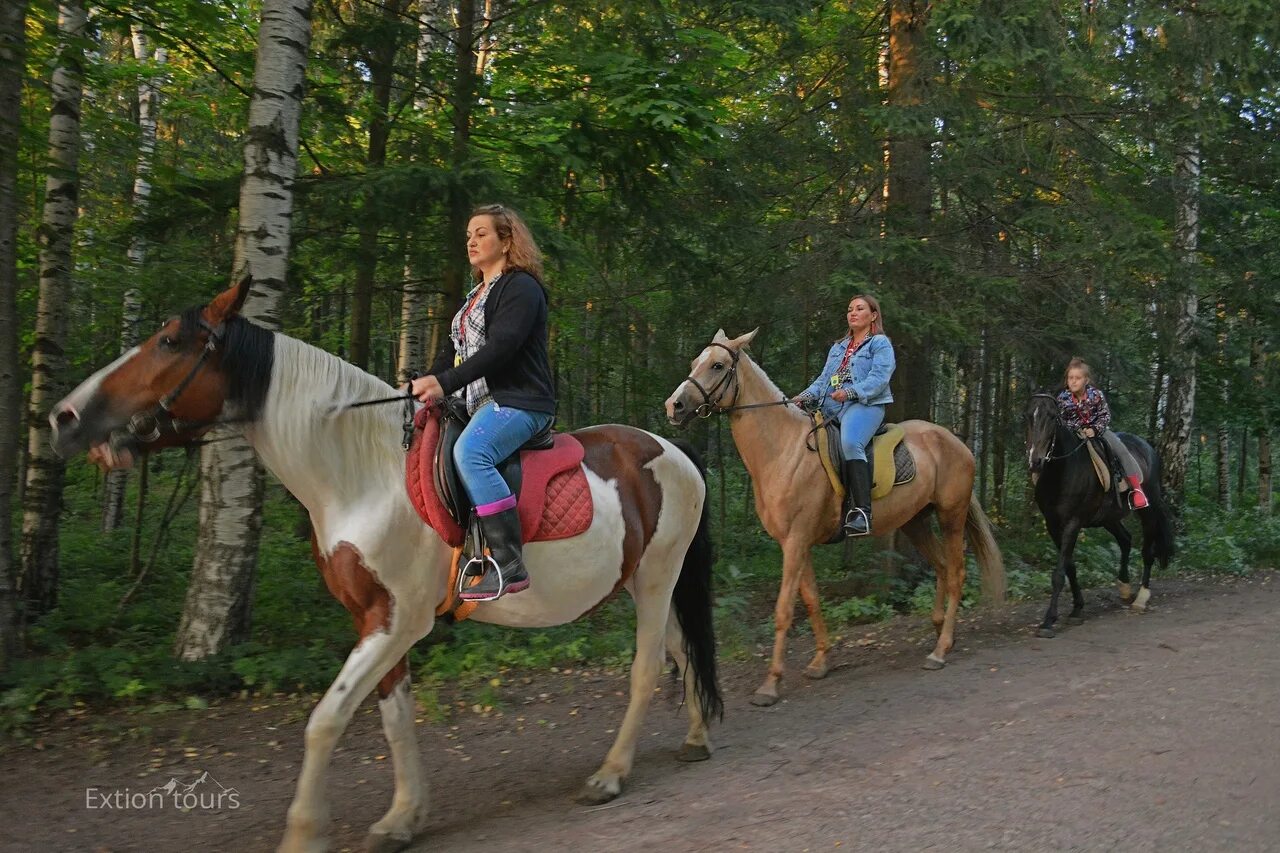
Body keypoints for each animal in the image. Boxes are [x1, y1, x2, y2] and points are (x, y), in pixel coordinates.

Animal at [49, 277, 727, 845]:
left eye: (168, 341)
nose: (64, 416)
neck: (362, 474)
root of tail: (672, 449)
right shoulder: (374, 620)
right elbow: (395, 716)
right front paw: (403, 817)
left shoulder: (396, 621)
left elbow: (325, 721)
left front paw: (304, 832)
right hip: (644, 580)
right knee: (679, 646)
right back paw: (696, 736)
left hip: (658, 576)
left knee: (646, 667)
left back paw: (610, 774)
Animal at [665, 325, 1003, 701]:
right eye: (696, 362)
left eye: (718, 366)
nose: (674, 406)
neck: (783, 451)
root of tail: (955, 442)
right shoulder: (795, 543)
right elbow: (811, 600)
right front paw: (820, 661)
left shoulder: (796, 541)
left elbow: (784, 609)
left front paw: (771, 684)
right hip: (916, 522)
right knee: (942, 568)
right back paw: (939, 629)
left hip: (951, 516)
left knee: (956, 572)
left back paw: (940, 649)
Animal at [1024, 389, 1172, 630]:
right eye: (1027, 416)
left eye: (1053, 417)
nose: (1035, 461)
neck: (1062, 471)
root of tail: (1148, 448)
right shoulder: (1053, 525)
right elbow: (1069, 567)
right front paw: (1077, 608)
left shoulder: (1073, 523)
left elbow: (1059, 572)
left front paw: (1048, 621)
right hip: (1109, 517)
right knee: (1125, 540)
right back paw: (1124, 587)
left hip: (1147, 511)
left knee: (1146, 550)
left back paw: (1141, 597)